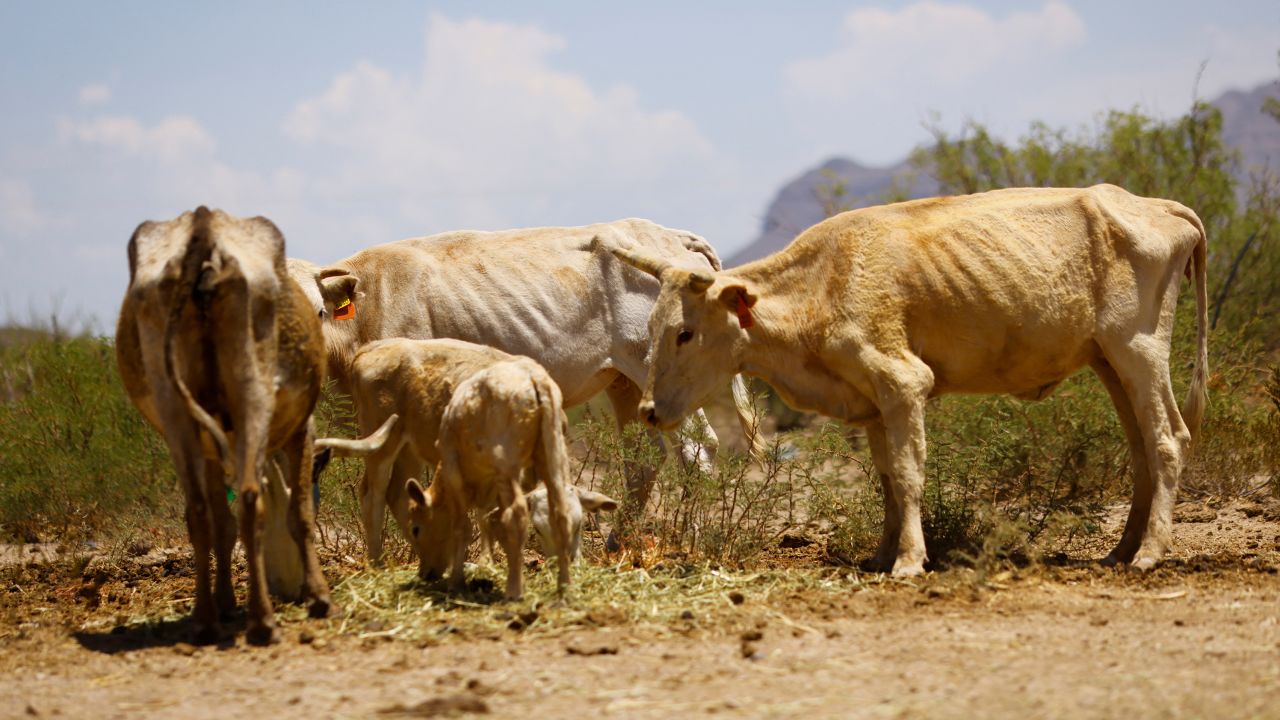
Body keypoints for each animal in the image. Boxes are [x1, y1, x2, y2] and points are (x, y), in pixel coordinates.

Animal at [116, 204, 335, 640]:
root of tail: (204, 227)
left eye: (323, 310)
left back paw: (204, 619)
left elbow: (222, 523)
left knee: (199, 512)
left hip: (175, 408)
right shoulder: (302, 430)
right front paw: (317, 596)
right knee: (251, 500)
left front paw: (225, 602)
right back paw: (262, 620)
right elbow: (299, 513)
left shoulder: (212, 449)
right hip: (252, 393)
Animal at [285, 215, 762, 535]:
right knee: (644, 459)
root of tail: (669, 234)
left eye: (319, 311)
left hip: (658, 371)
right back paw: (619, 543)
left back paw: (688, 536)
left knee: (698, 449)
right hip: (625, 382)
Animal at [404, 356, 576, 597]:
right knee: (560, 513)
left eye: (416, 529)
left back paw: (514, 591)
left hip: (507, 463)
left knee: (517, 514)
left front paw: (456, 581)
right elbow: (492, 522)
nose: (425, 573)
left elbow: (463, 527)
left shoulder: (454, 472)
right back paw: (564, 585)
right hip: (552, 454)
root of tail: (534, 378)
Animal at [604, 183, 1203, 571]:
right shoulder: (870, 401)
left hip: (1138, 347)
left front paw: (911, 562)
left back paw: (1150, 555)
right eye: (651, 326)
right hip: (1109, 361)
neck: (821, 286)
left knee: (1169, 438)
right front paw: (880, 554)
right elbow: (888, 478)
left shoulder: (904, 382)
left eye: (684, 333)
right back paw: (1121, 551)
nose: (649, 410)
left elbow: (910, 473)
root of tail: (1157, 204)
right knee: (1141, 449)